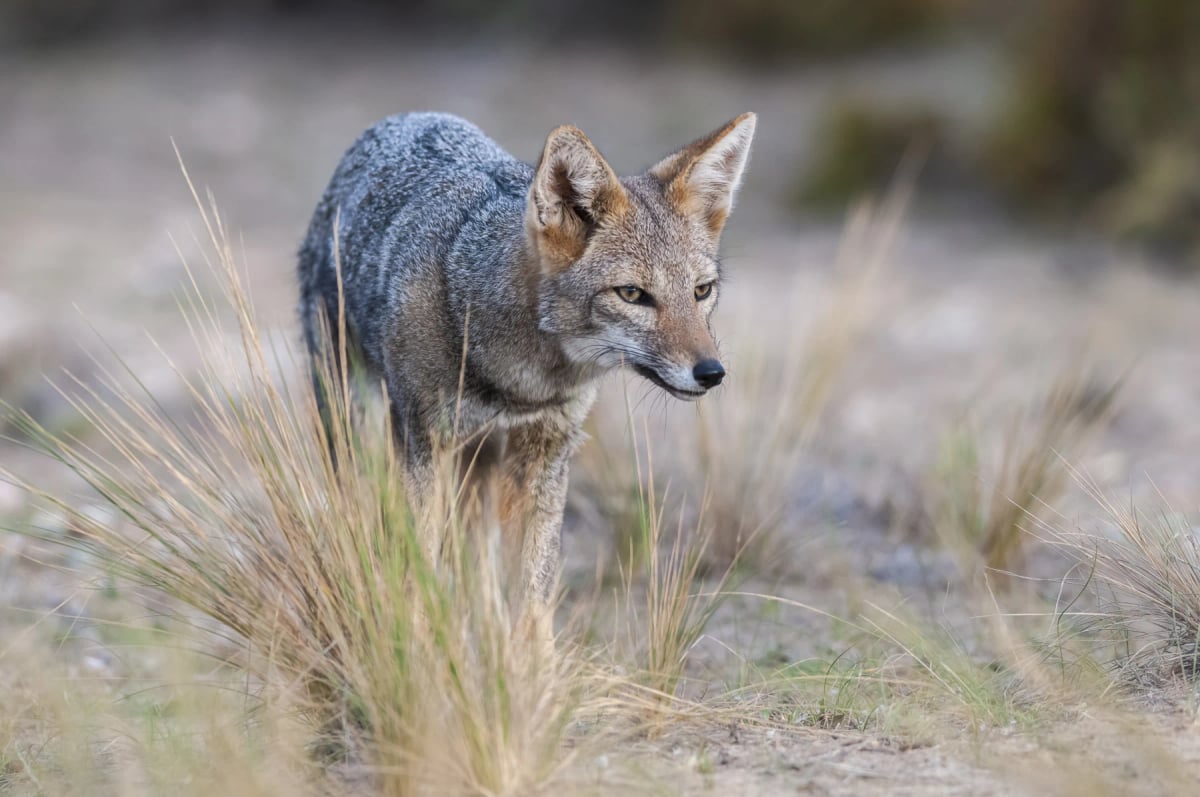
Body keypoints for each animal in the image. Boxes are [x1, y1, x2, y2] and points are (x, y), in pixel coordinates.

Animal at [297, 110, 756, 649]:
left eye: (702, 291)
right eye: (632, 294)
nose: (711, 373)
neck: (520, 380)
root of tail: (404, 118)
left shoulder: (548, 450)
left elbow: (535, 589)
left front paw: (532, 668)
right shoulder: (424, 443)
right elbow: (418, 567)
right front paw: (415, 648)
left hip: (482, 461)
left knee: (478, 566)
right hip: (360, 423)